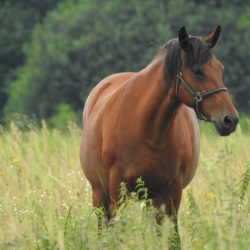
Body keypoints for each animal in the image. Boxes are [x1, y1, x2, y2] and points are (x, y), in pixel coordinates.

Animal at [79, 26, 239, 239]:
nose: (230, 120)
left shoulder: (171, 191)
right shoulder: (116, 189)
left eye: (220, 69)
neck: (147, 129)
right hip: (99, 193)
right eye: (197, 71)